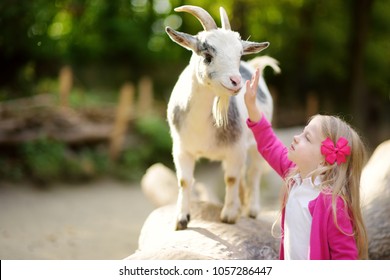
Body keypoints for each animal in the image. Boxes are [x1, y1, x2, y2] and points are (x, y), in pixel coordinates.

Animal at [166, 5, 278, 230]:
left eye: (239, 54)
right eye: (207, 54)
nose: (236, 81)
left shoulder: (235, 149)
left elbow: (232, 178)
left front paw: (229, 215)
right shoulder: (182, 149)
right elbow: (185, 181)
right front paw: (181, 219)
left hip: (254, 145)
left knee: (254, 173)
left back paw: (251, 209)